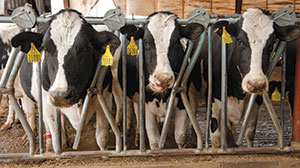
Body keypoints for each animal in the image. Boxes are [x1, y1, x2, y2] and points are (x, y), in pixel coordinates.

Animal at [11, 8, 119, 152]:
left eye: (85, 48)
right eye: (45, 48)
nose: (60, 96)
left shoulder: (105, 96)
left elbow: (102, 137)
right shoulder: (48, 104)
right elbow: (58, 142)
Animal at [114, 11, 204, 149]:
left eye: (177, 42)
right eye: (145, 42)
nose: (163, 79)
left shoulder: (181, 99)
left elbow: (180, 136)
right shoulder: (147, 104)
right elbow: (154, 141)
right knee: (133, 110)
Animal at [197, 8, 300, 147]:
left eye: (272, 44)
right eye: (239, 41)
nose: (256, 84)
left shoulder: (256, 102)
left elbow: (250, 133)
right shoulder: (214, 101)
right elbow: (216, 137)